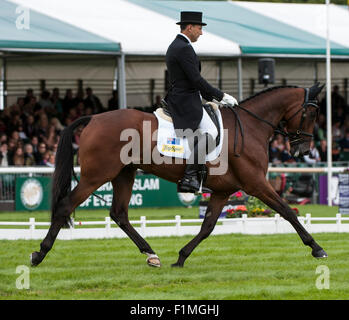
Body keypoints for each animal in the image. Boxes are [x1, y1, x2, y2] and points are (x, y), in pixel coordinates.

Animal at [29, 83, 326, 268]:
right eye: (312, 112)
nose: (303, 150)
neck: (252, 125)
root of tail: (92, 118)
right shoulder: (255, 183)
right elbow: (287, 211)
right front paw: (316, 248)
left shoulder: (223, 191)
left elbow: (207, 227)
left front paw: (181, 258)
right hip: (96, 176)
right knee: (66, 206)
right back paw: (39, 254)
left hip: (124, 174)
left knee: (119, 214)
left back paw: (151, 255)